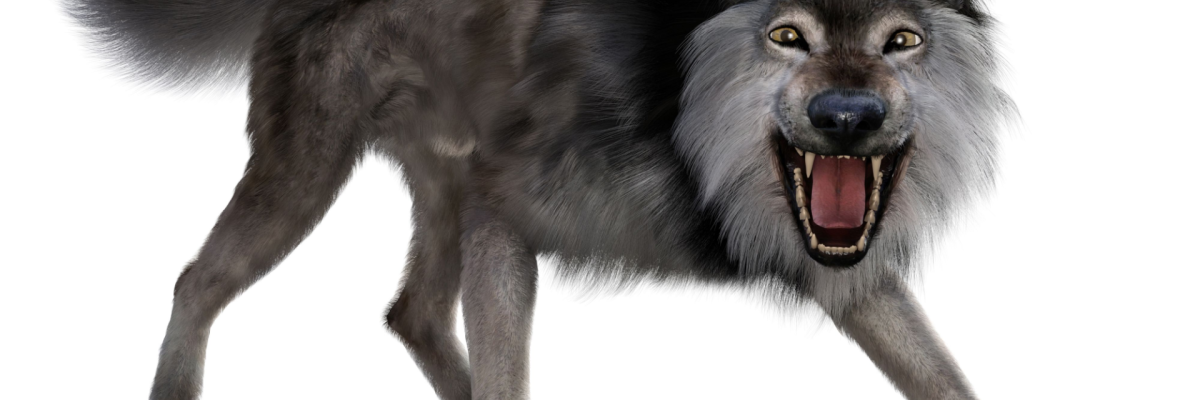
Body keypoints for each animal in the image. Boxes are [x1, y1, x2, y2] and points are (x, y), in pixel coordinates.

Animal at [68, 0, 1011, 398]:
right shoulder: (506, 209)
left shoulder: (853, 279)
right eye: (789, 35)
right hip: (309, 175)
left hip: (441, 185)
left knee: (410, 312)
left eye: (902, 40)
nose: (848, 117)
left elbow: (943, 377)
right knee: (196, 280)